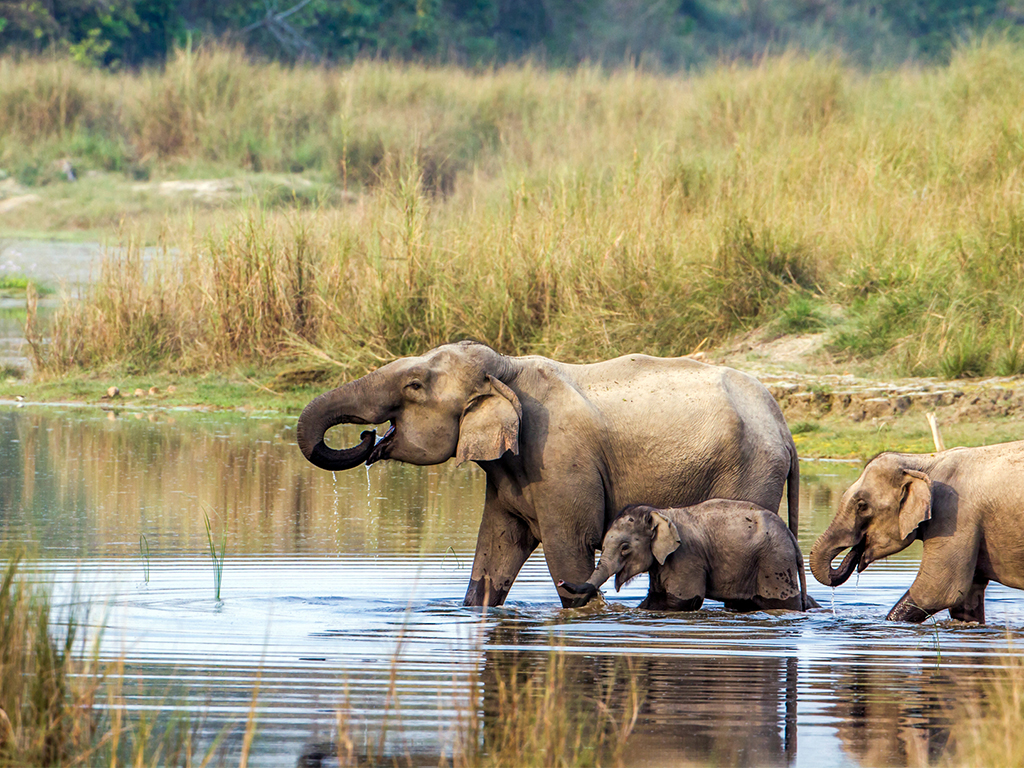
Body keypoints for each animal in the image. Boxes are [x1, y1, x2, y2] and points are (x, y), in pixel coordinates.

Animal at [296, 342, 798, 606]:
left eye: (414, 387)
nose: (368, 437)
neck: (508, 371)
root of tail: (785, 428)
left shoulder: (559, 462)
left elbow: (568, 549)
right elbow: (494, 551)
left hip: (750, 473)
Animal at [557, 505, 819, 614]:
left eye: (624, 548)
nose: (560, 581)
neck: (659, 512)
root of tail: (791, 537)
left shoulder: (686, 557)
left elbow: (682, 601)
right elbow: (654, 600)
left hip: (774, 563)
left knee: (779, 603)